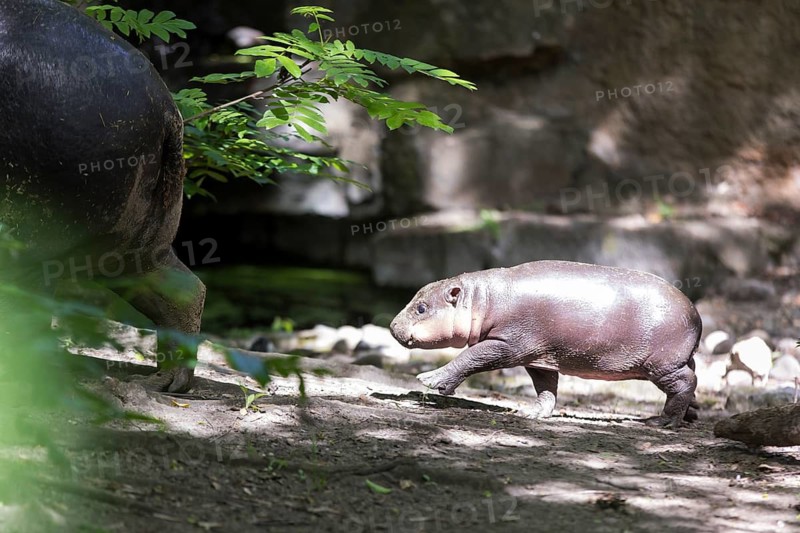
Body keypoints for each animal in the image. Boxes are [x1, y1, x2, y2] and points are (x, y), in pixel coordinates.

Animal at [390, 261, 702, 427]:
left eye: (421, 307)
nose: (392, 326)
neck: (481, 299)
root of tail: (695, 313)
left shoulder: (507, 344)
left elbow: (472, 357)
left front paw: (429, 380)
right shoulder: (540, 356)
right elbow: (545, 387)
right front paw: (532, 413)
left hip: (661, 364)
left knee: (686, 382)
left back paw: (660, 422)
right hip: (677, 360)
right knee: (690, 380)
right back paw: (691, 414)